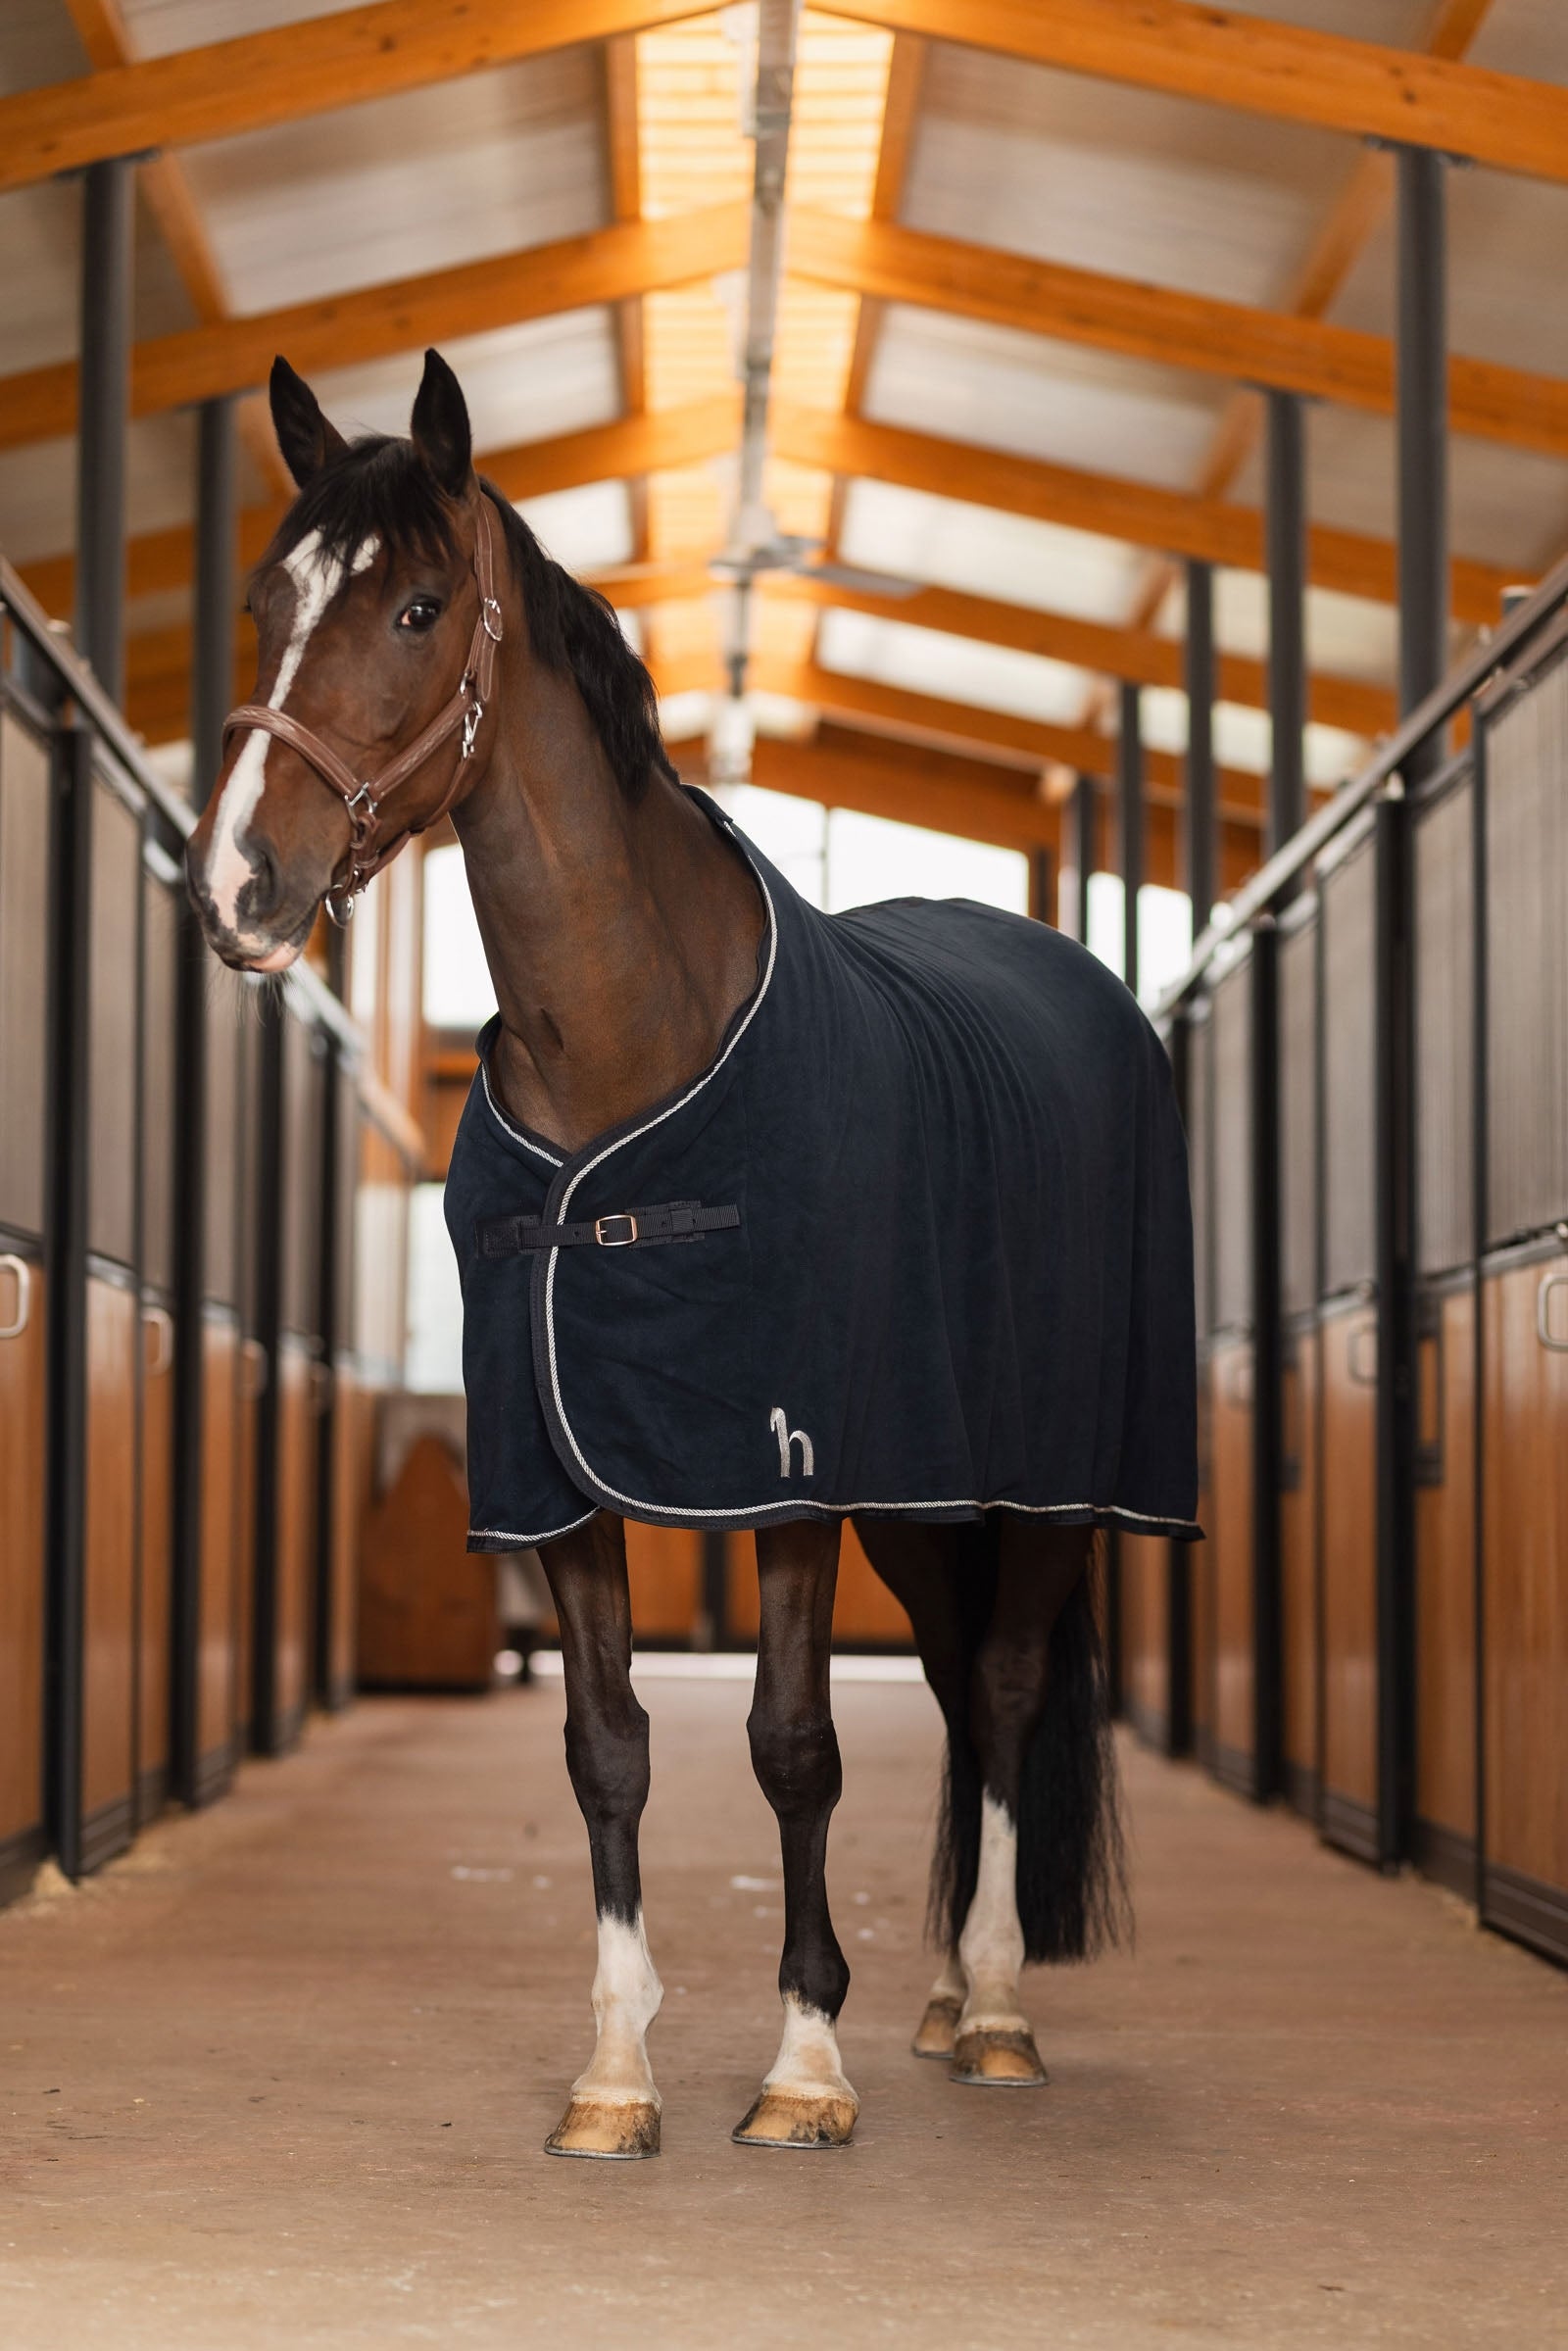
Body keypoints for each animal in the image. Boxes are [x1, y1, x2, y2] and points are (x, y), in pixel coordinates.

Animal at [185, 349, 1199, 2160]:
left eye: (418, 606)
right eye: (265, 602)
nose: (236, 880)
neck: (630, 1054)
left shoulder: (784, 1470)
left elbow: (794, 1742)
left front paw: (803, 2062)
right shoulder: (556, 1469)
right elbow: (606, 1746)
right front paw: (614, 2073)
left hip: (1055, 1483)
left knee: (1009, 1686)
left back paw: (995, 2009)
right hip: (923, 1491)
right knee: (956, 1687)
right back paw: (942, 1992)